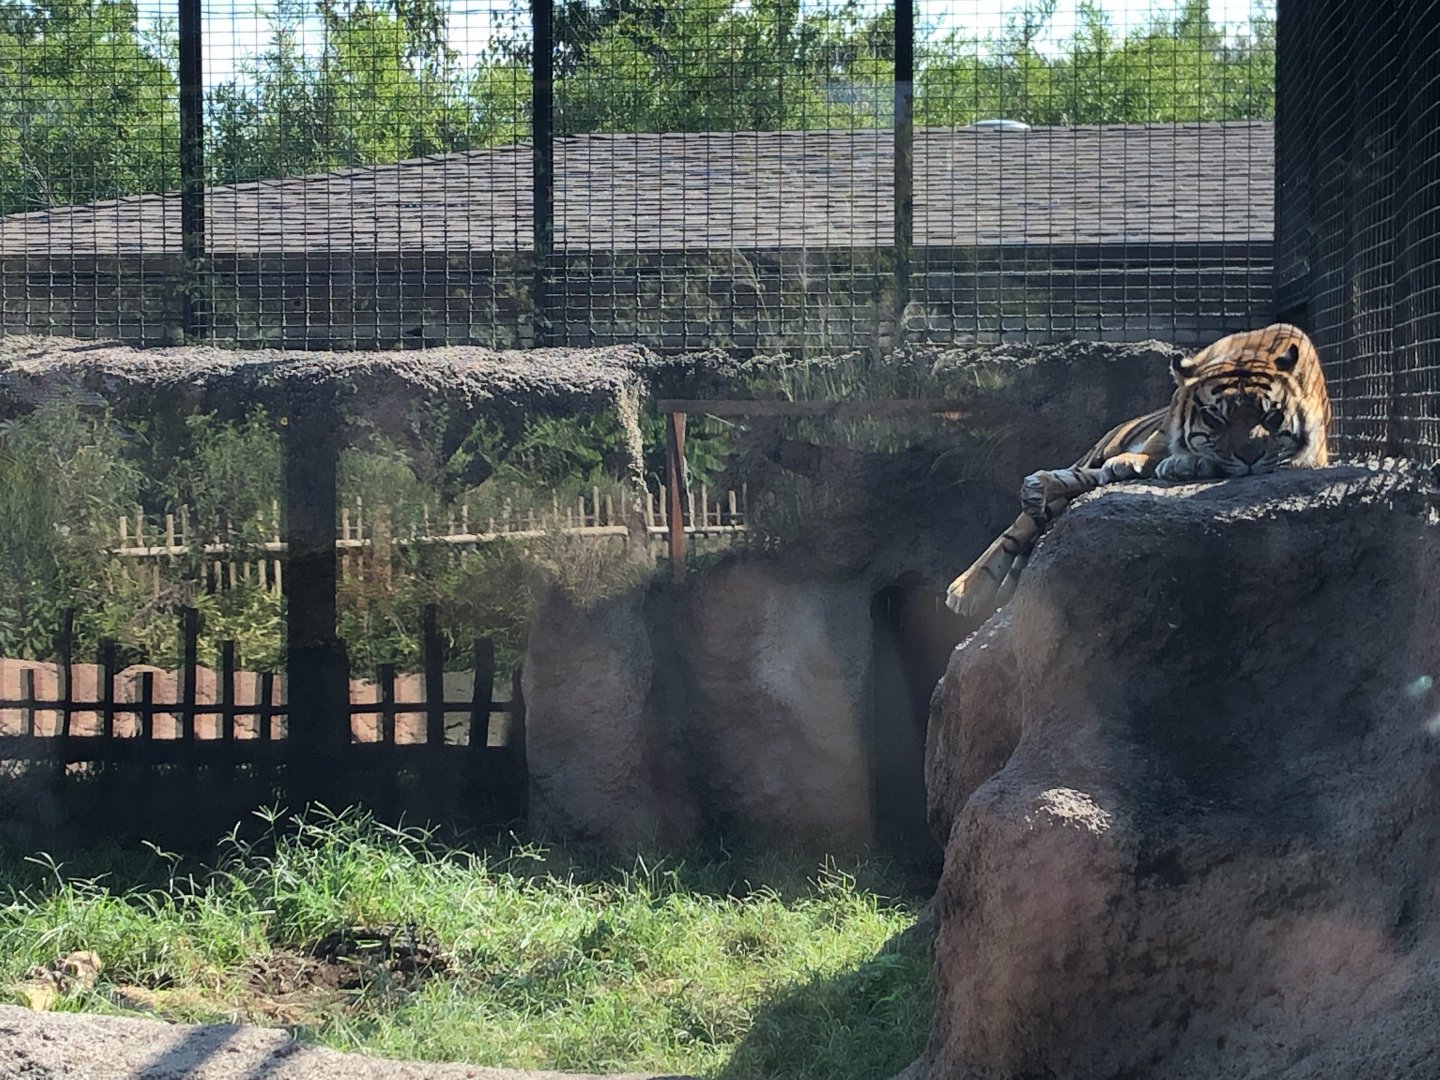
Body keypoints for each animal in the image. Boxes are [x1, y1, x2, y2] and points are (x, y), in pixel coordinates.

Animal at [944, 323, 1332, 617]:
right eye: (1215, 418)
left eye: (1271, 416)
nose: (1250, 456)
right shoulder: (1165, 429)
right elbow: (1159, 448)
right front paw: (1159, 460)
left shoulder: (1311, 456)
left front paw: (1182, 463)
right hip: (1096, 453)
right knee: (1019, 525)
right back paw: (965, 587)